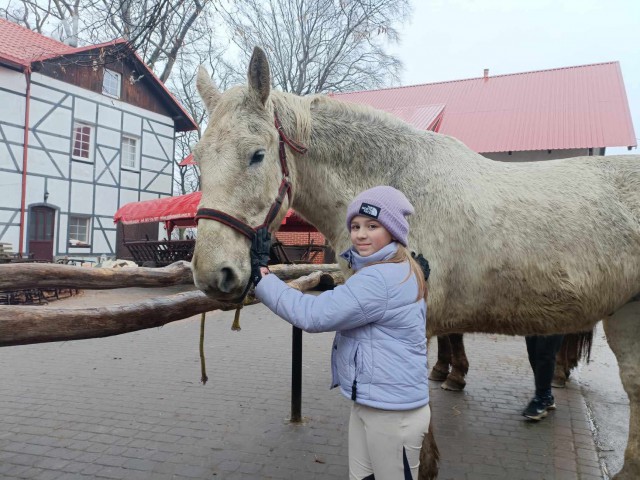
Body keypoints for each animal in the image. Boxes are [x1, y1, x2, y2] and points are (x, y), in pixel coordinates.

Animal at [190, 46, 640, 480]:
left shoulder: (417, 326)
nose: (213, 274)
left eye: (257, 155)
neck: (397, 195)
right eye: (197, 158)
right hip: (625, 315)